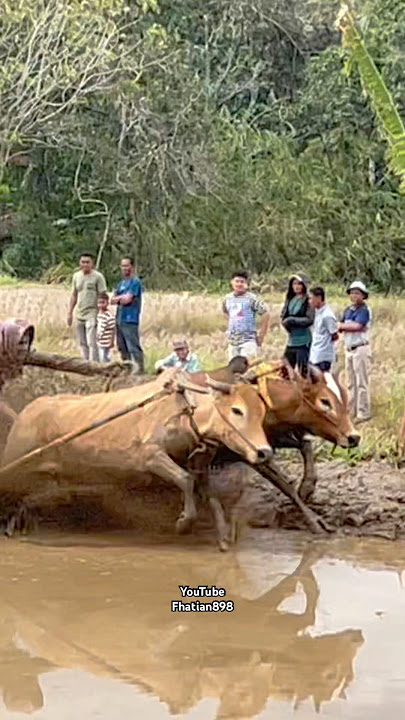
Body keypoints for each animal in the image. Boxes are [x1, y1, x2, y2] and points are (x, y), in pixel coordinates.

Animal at [0, 369, 272, 538]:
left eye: (262, 412)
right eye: (236, 410)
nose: (264, 452)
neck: (185, 409)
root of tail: (25, 413)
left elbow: (202, 488)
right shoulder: (150, 455)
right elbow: (185, 480)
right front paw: (184, 523)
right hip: (14, 460)